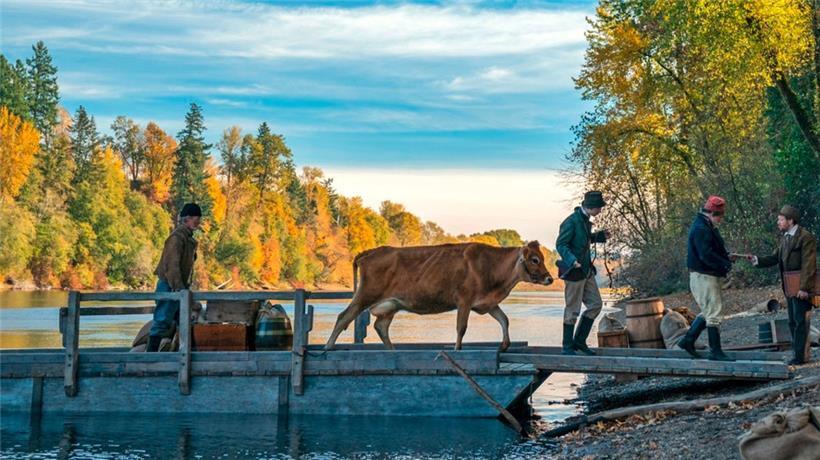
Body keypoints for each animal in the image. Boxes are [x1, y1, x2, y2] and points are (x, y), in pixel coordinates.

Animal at [325, 241, 554, 352]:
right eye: (534, 259)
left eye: (541, 258)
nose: (550, 278)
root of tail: (370, 251)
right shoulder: (464, 300)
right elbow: (461, 328)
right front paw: (457, 349)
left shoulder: (487, 303)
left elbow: (504, 320)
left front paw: (505, 345)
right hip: (366, 294)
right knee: (344, 316)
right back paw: (328, 347)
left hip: (390, 305)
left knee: (381, 327)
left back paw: (393, 351)